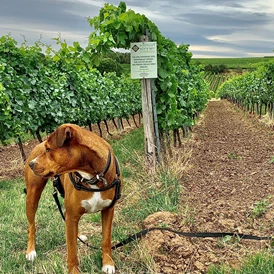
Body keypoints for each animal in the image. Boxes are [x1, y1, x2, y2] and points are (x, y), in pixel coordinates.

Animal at [24, 123, 122, 272]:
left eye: (48, 149)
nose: (31, 164)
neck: (93, 176)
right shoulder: (72, 215)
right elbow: (72, 252)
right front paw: (74, 271)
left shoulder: (108, 210)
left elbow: (106, 239)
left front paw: (107, 263)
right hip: (32, 196)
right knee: (31, 226)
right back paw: (30, 251)